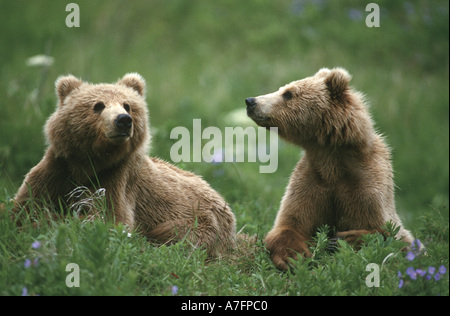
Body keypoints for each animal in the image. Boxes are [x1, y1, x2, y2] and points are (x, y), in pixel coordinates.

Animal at [13, 73, 236, 256]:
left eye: (127, 105)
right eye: (98, 105)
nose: (123, 120)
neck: (89, 163)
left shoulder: (117, 179)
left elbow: (109, 220)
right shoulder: (57, 170)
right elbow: (25, 204)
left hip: (202, 221)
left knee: (175, 233)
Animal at [246, 68, 414, 270]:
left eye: (288, 93)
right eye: (282, 89)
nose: (251, 101)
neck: (332, 160)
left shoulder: (366, 185)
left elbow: (387, 232)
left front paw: (340, 239)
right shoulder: (311, 181)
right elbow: (290, 225)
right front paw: (293, 257)